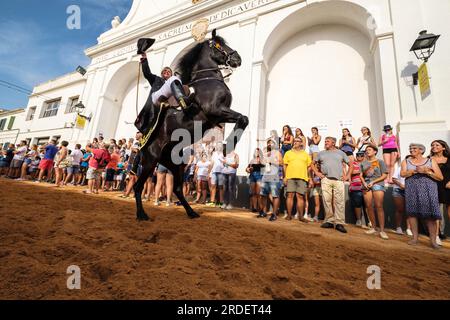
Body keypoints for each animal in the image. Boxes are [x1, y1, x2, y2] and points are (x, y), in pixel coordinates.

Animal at [134, 30, 250, 221]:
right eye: (218, 44)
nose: (237, 58)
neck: (207, 80)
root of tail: (142, 142)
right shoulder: (216, 111)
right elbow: (243, 118)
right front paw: (227, 146)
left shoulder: (218, 118)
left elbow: (244, 119)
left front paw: (226, 147)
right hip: (151, 160)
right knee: (138, 186)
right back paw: (142, 214)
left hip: (175, 163)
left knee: (177, 188)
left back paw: (191, 212)